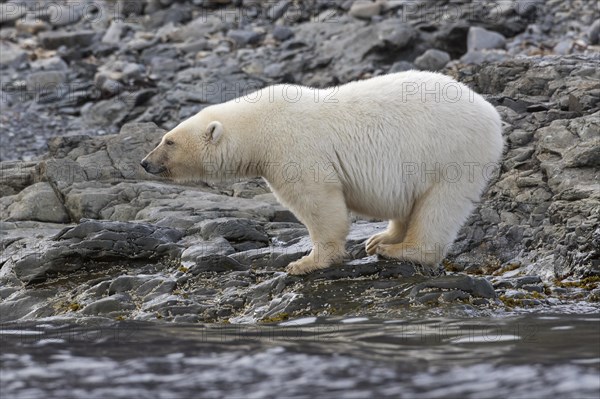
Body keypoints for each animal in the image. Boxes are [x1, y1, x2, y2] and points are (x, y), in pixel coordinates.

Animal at [143, 71, 504, 276]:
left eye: (169, 140)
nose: (145, 162)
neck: (259, 126)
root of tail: (492, 113)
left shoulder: (293, 149)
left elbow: (319, 203)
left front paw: (305, 263)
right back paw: (382, 238)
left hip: (451, 154)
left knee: (439, 205)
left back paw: (401, 250)